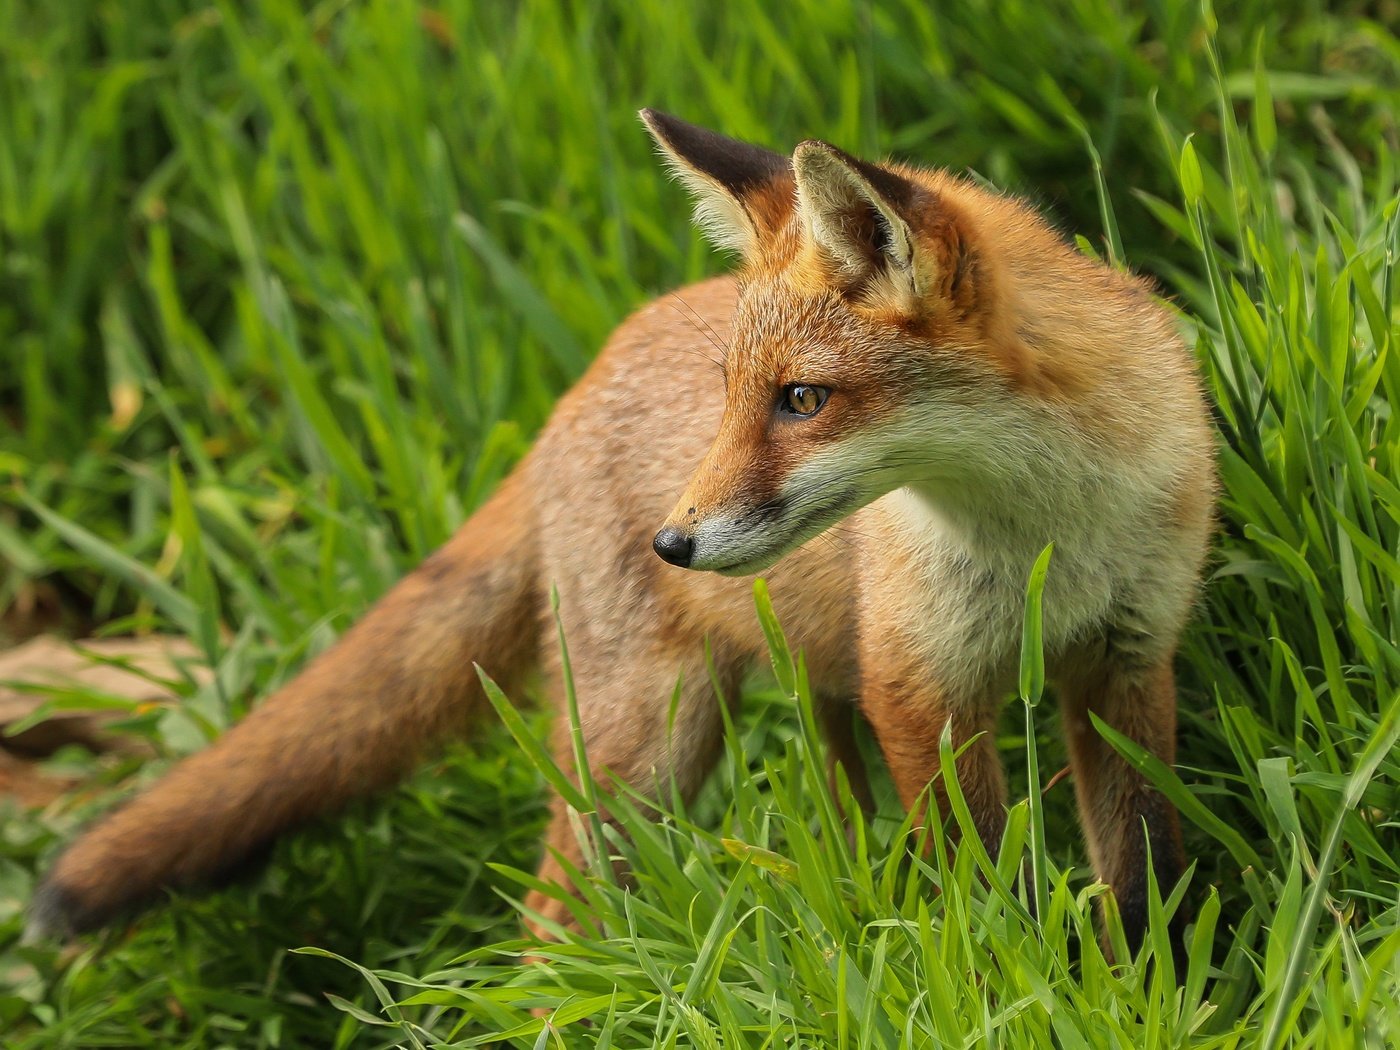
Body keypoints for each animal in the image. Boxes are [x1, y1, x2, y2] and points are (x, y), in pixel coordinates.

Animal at [30, 113, 1215, 963]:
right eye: (731, 399)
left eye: (801, 400)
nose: (672, 545)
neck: (1046, 536)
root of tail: (571, 391)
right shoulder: (920, 685)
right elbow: (986, 877)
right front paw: (1023, 973)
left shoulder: (1124, 659)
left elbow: (1145, 867)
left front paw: (1146, 985)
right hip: (642, 750)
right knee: (550, 926)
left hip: (788, 698)